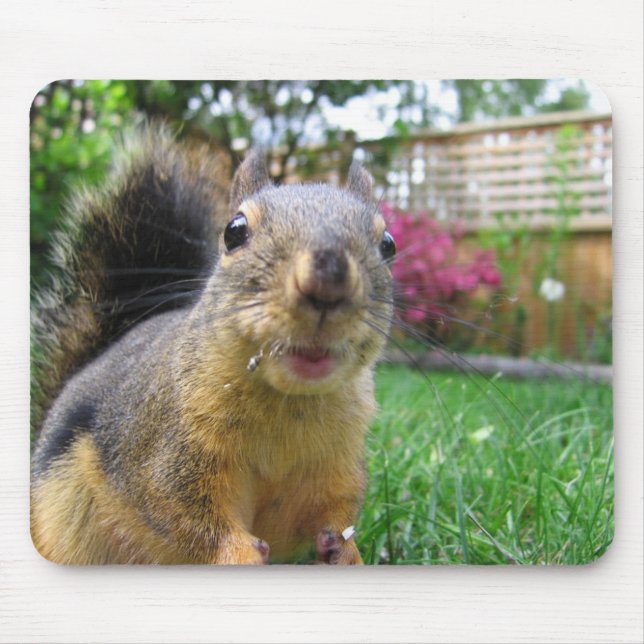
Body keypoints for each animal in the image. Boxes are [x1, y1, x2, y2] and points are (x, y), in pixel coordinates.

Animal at [30, 126, 395, 565]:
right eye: (234, 231)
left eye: (388, 244)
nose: (328, 280)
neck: (289, 403)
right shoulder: (163, 451)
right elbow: (183, 511)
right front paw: (241, 554)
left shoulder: (337, 464)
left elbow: (334, 511)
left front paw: (345, 551)